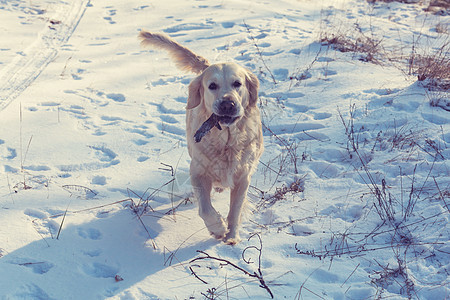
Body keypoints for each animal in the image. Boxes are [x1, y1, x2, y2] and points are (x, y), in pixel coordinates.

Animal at [139, 31, 262, 245]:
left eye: (237, 84)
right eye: (212, 86)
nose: (227, 104)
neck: (226, 142)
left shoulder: (243, 176)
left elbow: (236, 209)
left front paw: (232, 236)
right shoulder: (197, 171)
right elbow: (205, 209)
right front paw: (218, 228)